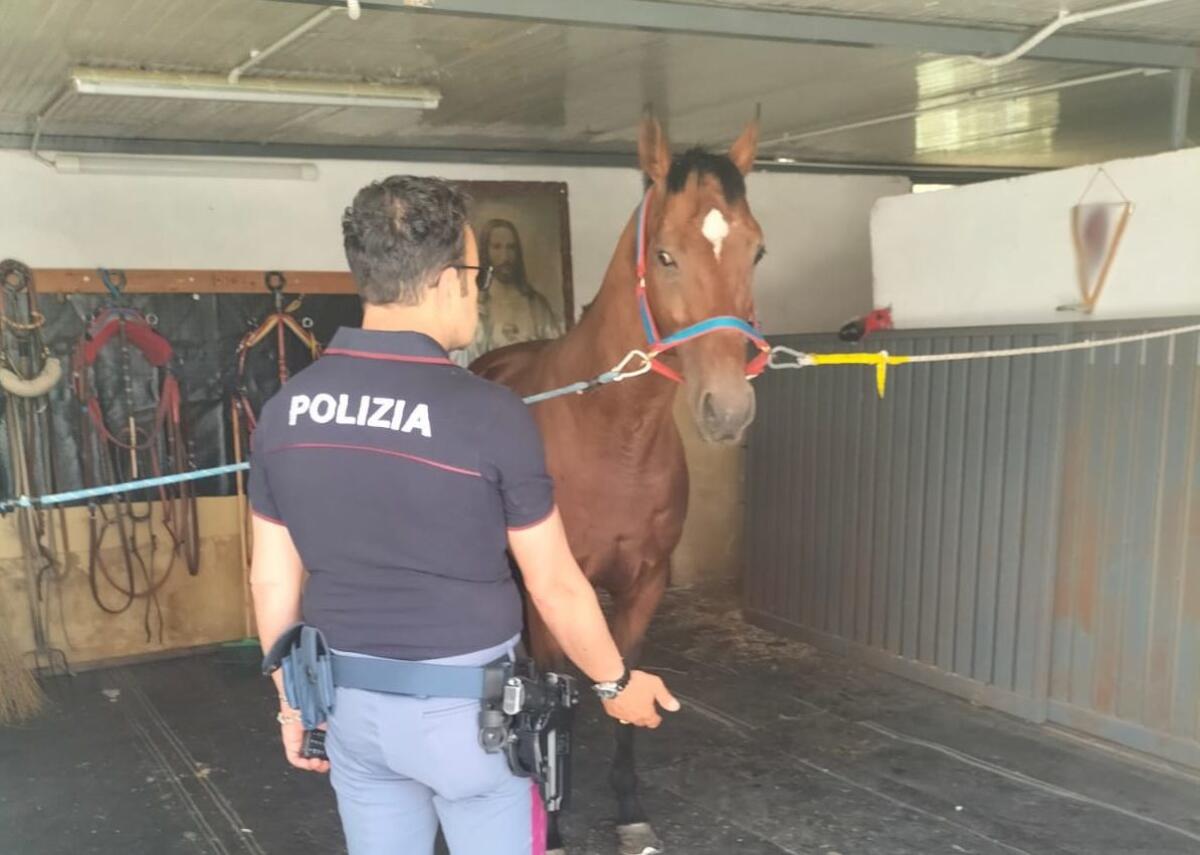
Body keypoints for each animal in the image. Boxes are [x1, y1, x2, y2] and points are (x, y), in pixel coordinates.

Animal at [472, 113, 766, 855]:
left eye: (757, 251)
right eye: (664, 255)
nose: (728, 409)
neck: (611, 436)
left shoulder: (645, 585)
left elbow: (626, 693)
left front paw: (630, 809)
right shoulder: (552, 594)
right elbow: (560, 698)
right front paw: (554, 820)